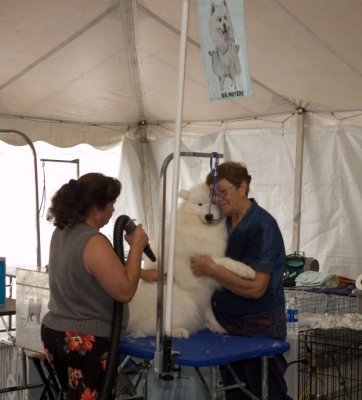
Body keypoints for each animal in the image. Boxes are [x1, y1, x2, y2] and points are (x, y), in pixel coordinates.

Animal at [126, 184, 255, 338]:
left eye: (215, 202)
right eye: (200, 204)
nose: (209, 216)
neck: (200, 226)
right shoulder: (197, 261)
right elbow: (224, 261)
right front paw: (245, 270)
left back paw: (218, 328)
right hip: (185, 302)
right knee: (157, 328)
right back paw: (178, 331)